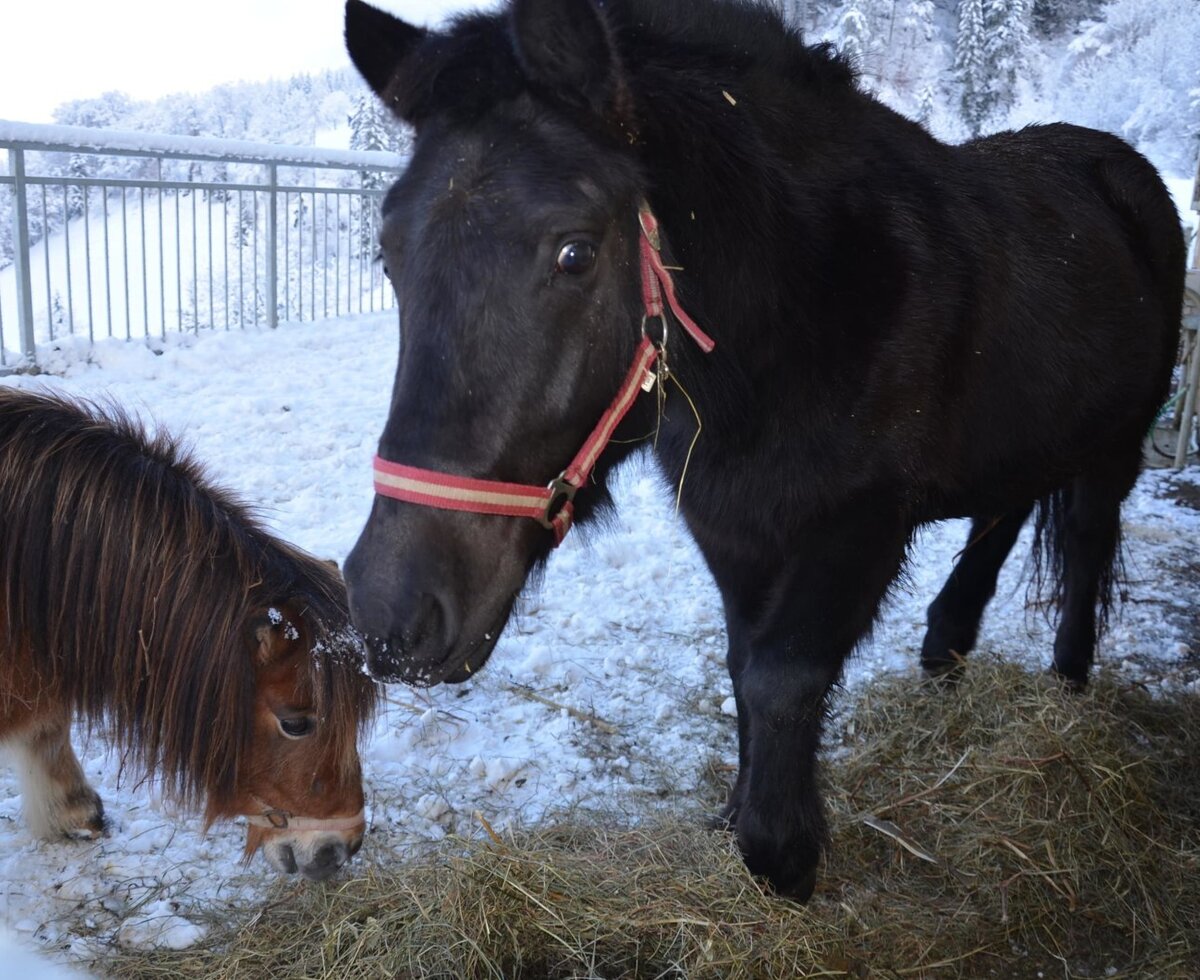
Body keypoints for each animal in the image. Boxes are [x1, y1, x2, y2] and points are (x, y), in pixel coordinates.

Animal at [340, 0, 1186, 899]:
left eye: (575, 252)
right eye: (387, 253)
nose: (388, 612)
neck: (803, 311)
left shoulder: (860, 525)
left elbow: (783, 677)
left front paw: (781, 854)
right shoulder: (733, 529)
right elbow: (743, 668)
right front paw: (738, 815)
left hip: (1117, 444)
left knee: (1086, 543)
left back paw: (1069, 682)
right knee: (1004, 512)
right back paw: (947, 647)